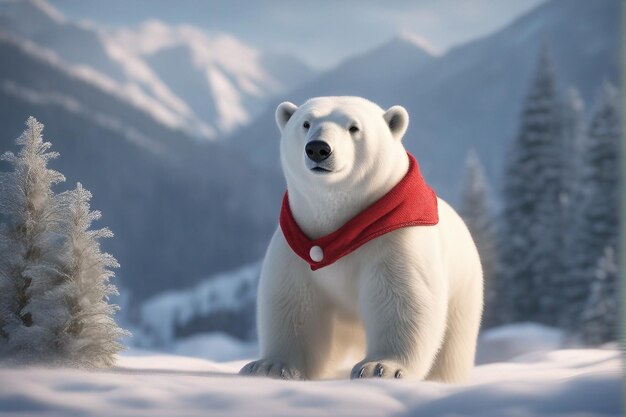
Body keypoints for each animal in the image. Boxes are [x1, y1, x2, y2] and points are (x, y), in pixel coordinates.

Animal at [239, 96, 482, 380]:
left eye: (353, 127)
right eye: (306, 123)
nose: (318, 148)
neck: (342, 231)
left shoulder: (394, 240)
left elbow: (401, 300)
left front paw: (381, 368)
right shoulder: (297, 242)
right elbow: (293, 303)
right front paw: (269, 366)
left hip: (463, 291)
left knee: (452, 347)